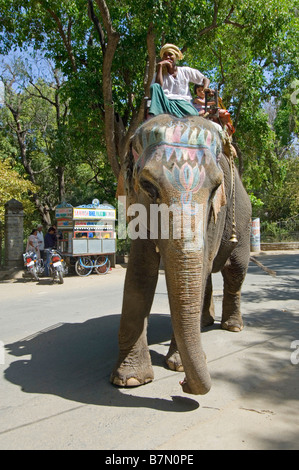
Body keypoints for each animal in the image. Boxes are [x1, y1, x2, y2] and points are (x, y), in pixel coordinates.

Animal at [111, 114, 252, 396]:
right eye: (148, 186)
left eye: (216, 187)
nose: (183, 385)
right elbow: (140, 272)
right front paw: (130, 380)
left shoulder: (215, 216)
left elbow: (203, 263)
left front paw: (176, 366)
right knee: (207, 276)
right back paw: (206, 323)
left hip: (242, 220)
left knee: (234, 271)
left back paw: (232, 326)